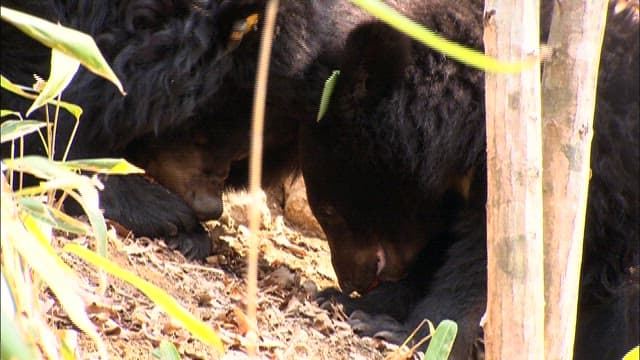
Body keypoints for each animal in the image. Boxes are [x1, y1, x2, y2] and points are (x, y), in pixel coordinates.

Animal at [302, 1, 640, 358]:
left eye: (329, 211)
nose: (351, 281)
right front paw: (350, 304)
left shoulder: (589, 177)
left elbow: (489, 263)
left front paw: (408, 332)